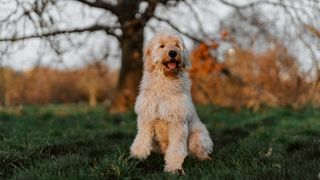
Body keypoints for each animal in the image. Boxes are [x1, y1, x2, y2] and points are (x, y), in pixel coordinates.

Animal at [130, 31, 212, 174]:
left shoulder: (177, 122)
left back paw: (204, 159)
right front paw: (136, 158)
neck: (165, 81)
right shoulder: (146, 118)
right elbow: (141, 140)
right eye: (162, 46)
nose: (173, 53)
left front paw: (174, 168)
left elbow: (176, 149)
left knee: (199, 152)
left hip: (198, 136)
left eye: (177, 45)